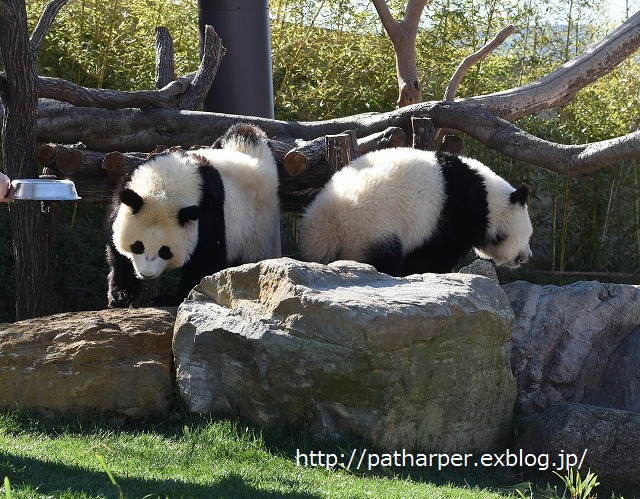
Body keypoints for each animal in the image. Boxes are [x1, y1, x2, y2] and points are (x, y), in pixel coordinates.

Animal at [106, 123, 278, 306]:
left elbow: (205, 259)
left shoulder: (208, 210)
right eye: (137, 246)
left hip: (255, 227)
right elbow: (117, 252)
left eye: (165, 251)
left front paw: (175, 298)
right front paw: (121, 295)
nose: (147, 274)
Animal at [300, 148, 536, 278]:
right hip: (370, 228)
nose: (526, 257)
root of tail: (329, 226)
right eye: (527, 236)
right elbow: (434, 255)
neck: (489, 200)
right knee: (384, 257)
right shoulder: (455, 213)